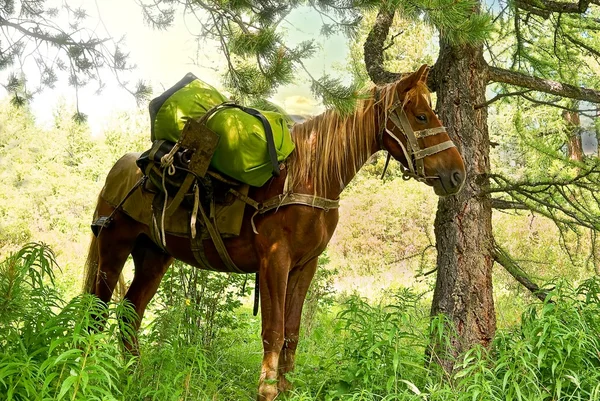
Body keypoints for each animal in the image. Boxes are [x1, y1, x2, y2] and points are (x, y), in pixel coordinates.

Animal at [82, 64, 466, 398]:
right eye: (421, 116)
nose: (457, 174)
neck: (308, 178)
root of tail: (119, 170)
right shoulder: (274, 262)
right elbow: (273, 330)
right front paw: (266, 391)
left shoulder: (304, 265)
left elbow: (292, 333)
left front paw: (286, 389)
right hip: (114, 247)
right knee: (96, 314)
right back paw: (87, 372)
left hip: (153, 257)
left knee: (130, 313)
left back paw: (135, 376)